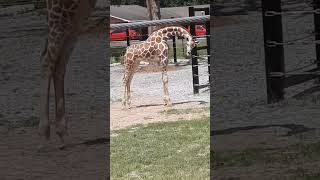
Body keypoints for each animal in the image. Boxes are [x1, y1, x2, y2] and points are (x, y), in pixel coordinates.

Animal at [38, 0, 97, 150]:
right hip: (63, 8)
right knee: (47, 60)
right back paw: (44, 134)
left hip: (81, 10)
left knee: (59, 63)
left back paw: (62, 133)